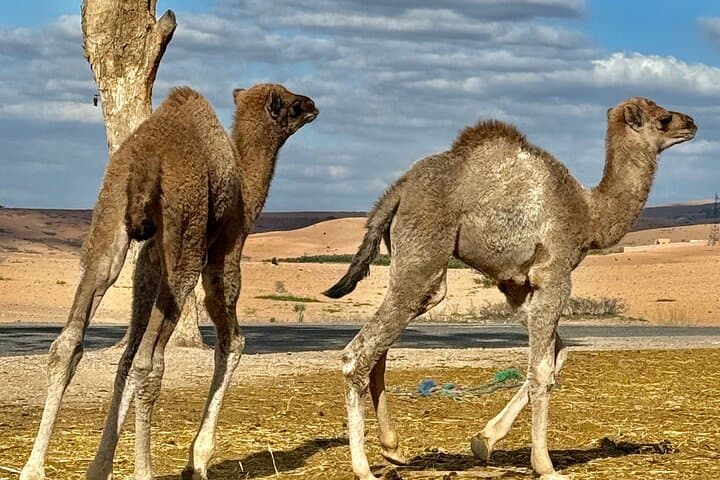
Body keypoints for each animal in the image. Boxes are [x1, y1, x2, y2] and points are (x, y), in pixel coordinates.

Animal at [20, 83, 318, 480]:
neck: (245, 190)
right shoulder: (224, 250)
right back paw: (145, 470)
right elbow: (232, 342)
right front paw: (198, 459)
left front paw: (100, 466)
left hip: (109, 218)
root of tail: (147, 159)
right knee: (152, 363)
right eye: (291, 105)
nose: (313, 105)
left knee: (70, 340)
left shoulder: (148, 258)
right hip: (186, 242)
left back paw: (32, 469)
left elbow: (125, 358)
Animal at [324, 97, 696, 480]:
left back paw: (394, 449)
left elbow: (559, 355)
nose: (692, 123)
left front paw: (484, 441)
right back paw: (363, 467)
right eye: (664, 119)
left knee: (381, 345)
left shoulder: (516, 285)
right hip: (423, 256)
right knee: (357, 355)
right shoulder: (554, 275)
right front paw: (545, 465)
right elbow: (542, 371)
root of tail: (398, 190)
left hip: (416, 270)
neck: (589, 213)